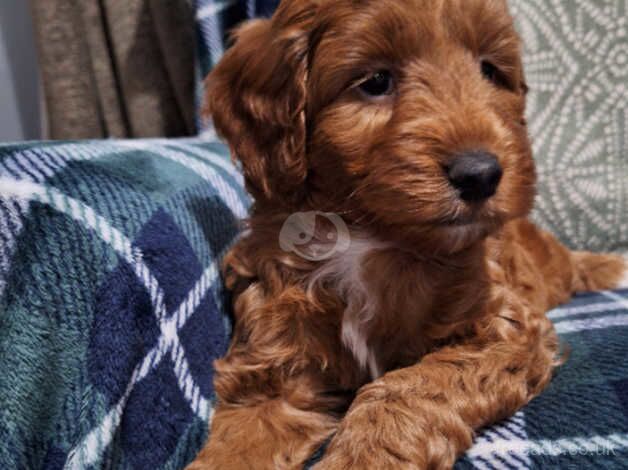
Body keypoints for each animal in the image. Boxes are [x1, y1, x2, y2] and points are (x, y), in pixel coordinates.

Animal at [186, 0, 628, 468]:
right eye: (376, 81)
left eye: (490, 71)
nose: (481, 174)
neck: (368, 235)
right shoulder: (273, 363)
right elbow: (237, 443)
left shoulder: (507, 329)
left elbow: (409, 387)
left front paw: (364, 456)